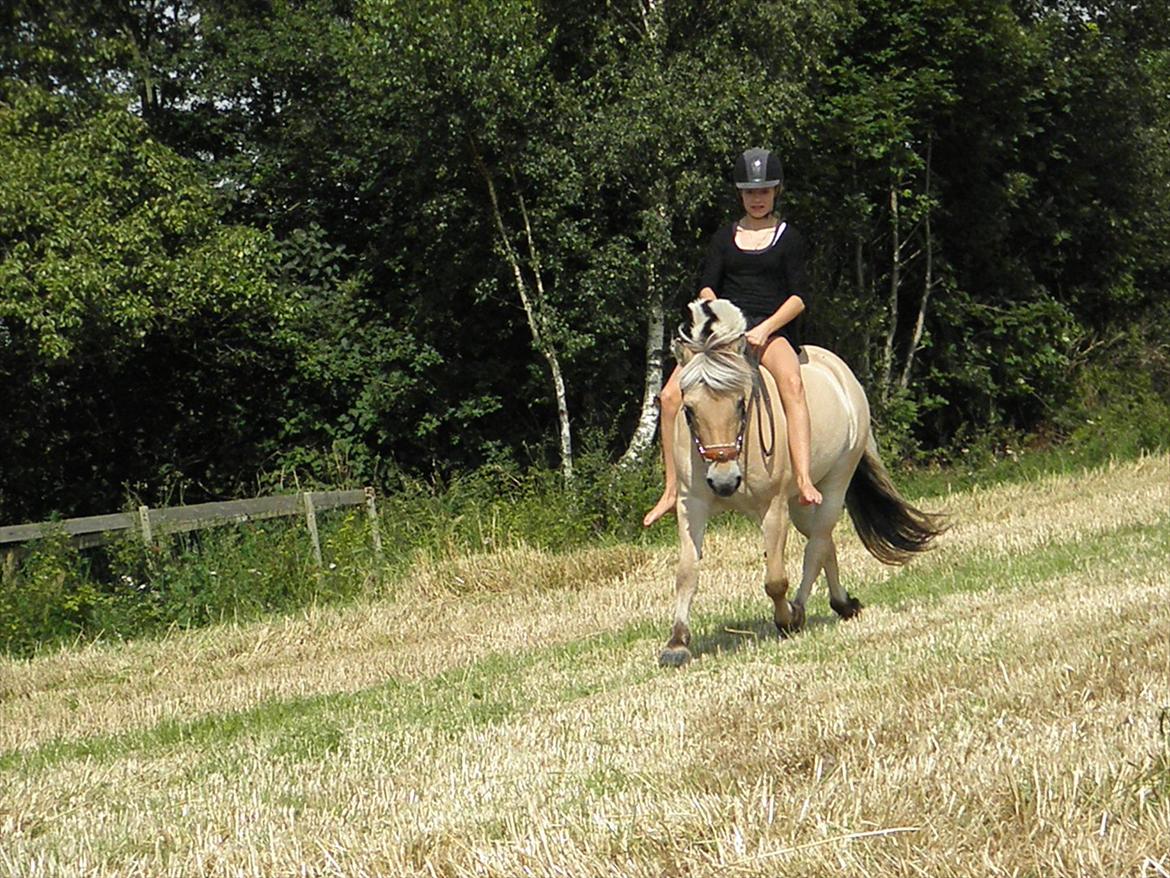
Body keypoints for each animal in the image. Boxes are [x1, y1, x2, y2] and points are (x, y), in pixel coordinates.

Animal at [659, 299, 950, 669]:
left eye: (741, 403)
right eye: (689, 410)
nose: (724, 483)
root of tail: (842, 372)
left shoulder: (773, 506)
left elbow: (775, 579)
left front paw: (784, 620)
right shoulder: (692, 504)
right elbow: (686, 572)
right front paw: (677, 643)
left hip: (834, 484)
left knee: (817, 545)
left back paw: (800, 611)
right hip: (799, 504)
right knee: (823, 541)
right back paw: (843, 604)